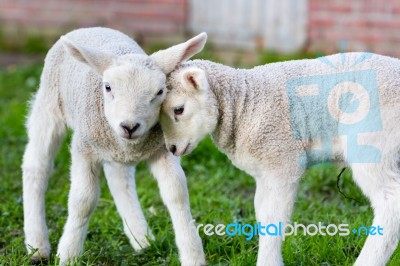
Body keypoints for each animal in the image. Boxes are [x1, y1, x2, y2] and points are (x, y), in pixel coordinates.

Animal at [21, 26, 208, 264]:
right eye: (108, 87)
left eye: (160, 91)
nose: (129, 126)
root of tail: (91, 27)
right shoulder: (84, 147)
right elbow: (83, 200)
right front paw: (68, 255)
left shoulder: (161, 148)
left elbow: (176, 192)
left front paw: (193, 254)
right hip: (49, 105)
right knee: (37, 166)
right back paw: (37, 246)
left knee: (119, 180)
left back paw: (141, 239)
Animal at [161, 53, 400, 264]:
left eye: (179, 109)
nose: (171, 148)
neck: (243, 103)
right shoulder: (263, 173)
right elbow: (261, 215)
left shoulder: (283, 163)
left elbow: (273, 219)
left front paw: (268, 262)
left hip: (373, 144)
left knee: (391, 202)